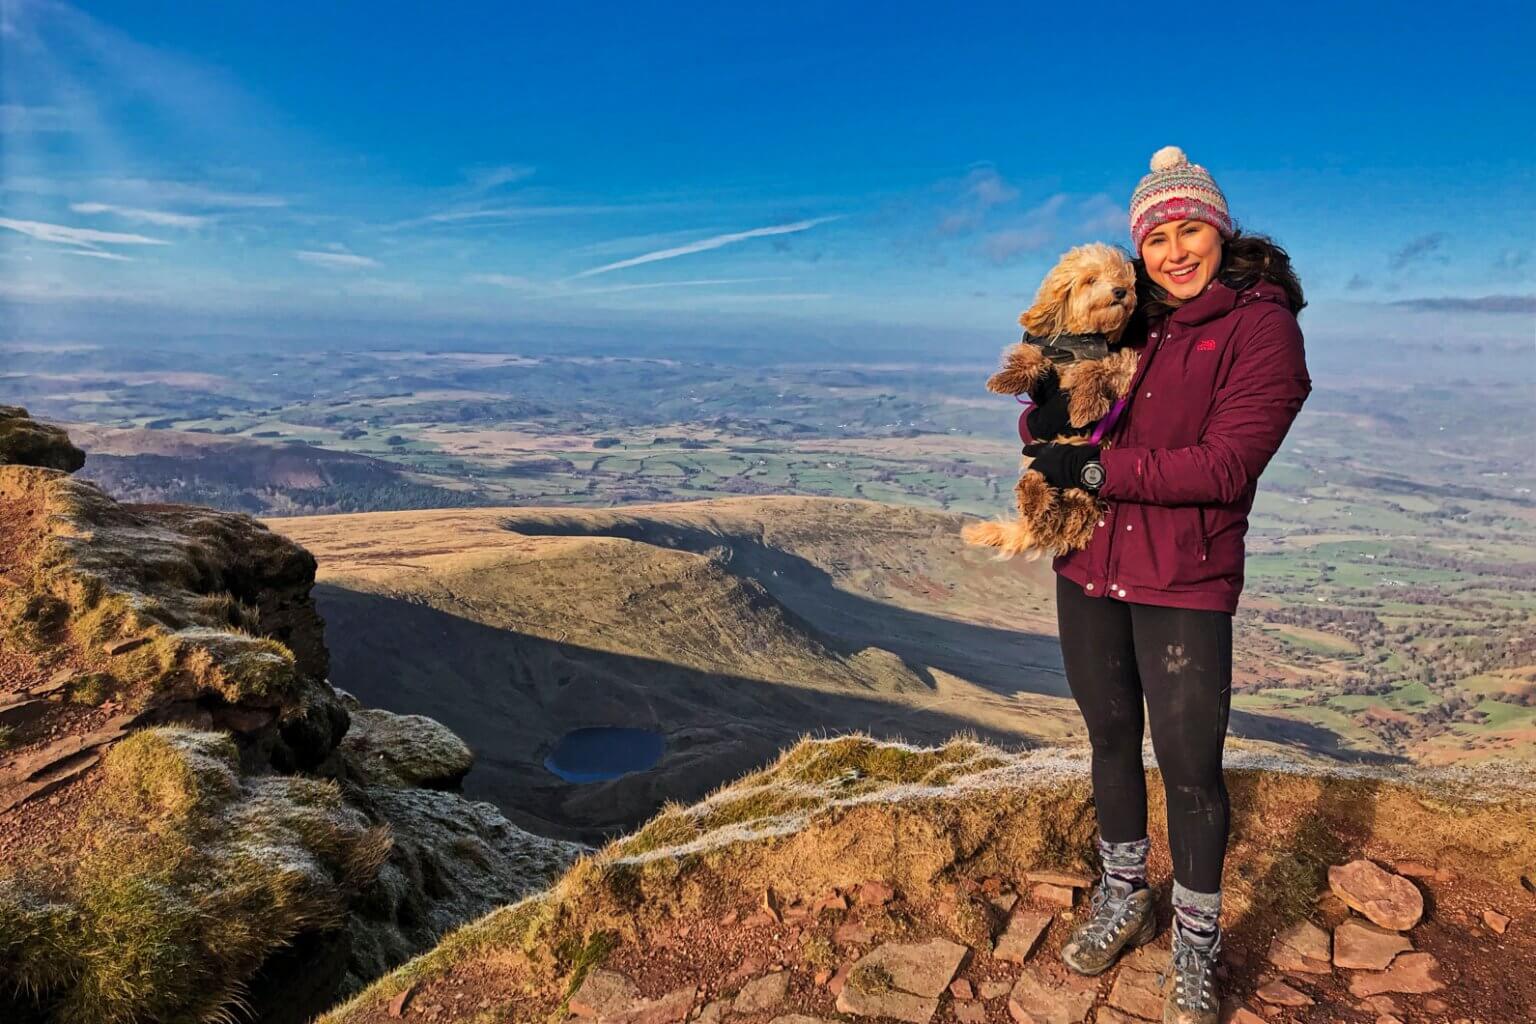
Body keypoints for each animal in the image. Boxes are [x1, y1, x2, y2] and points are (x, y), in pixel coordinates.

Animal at [958, 241, 1142, 561]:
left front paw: (1084, 405)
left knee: (1068, 516)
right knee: (1046, 511)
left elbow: (1094, 370)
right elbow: (1029, 357)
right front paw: (1008, 378)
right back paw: (1034, 493)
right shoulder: (1045, 353)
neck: (1079, 339)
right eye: (1090, 279)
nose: (1121, 291)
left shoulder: (1116, 363)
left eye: (1121, 277)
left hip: (1077, 483)